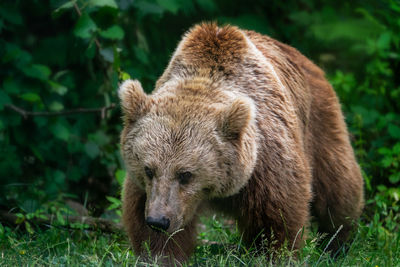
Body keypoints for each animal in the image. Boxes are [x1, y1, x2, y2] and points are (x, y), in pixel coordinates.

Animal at [117, 23, 364, 266]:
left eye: (185, 174)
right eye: (149, 170)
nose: (158, 220)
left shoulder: (266, 163)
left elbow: (276, 220)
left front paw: (271, 255)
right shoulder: (148, 191)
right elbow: (151, 231)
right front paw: (159, 255)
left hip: (320, 121)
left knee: (338, 187)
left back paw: (338, 242)